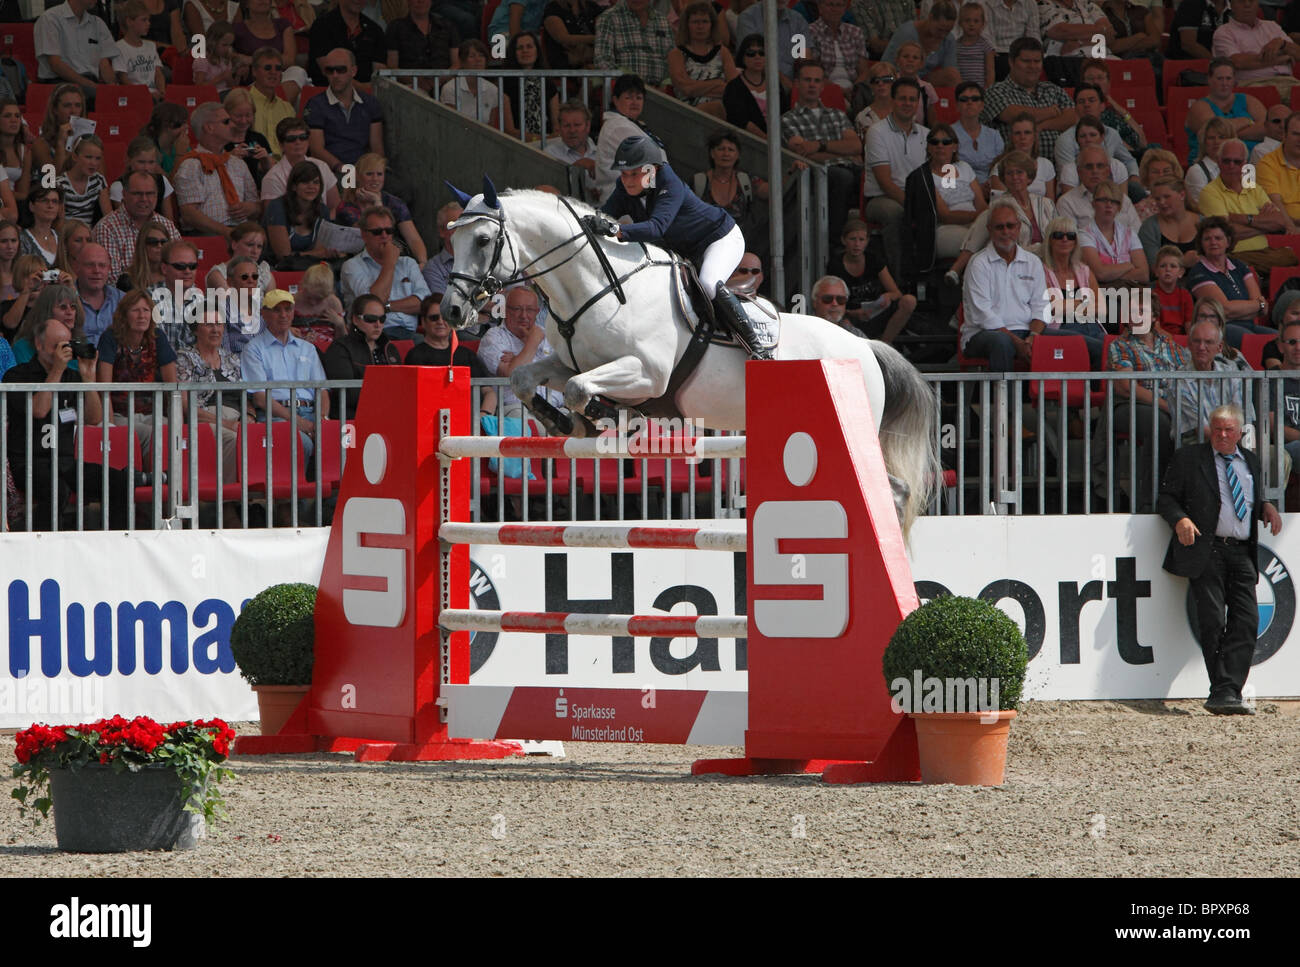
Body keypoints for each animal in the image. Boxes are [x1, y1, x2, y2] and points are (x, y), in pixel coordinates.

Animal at [441, 181, 941, 535]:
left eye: (483, 239)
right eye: (454, 242)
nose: (451, 311)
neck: (596, 288)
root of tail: (865, 349)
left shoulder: (647, 375)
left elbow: (582, 389)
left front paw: (611, 417)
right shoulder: (568, 363)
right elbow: (528, 379)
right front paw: (568, 422)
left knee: (892, 492)